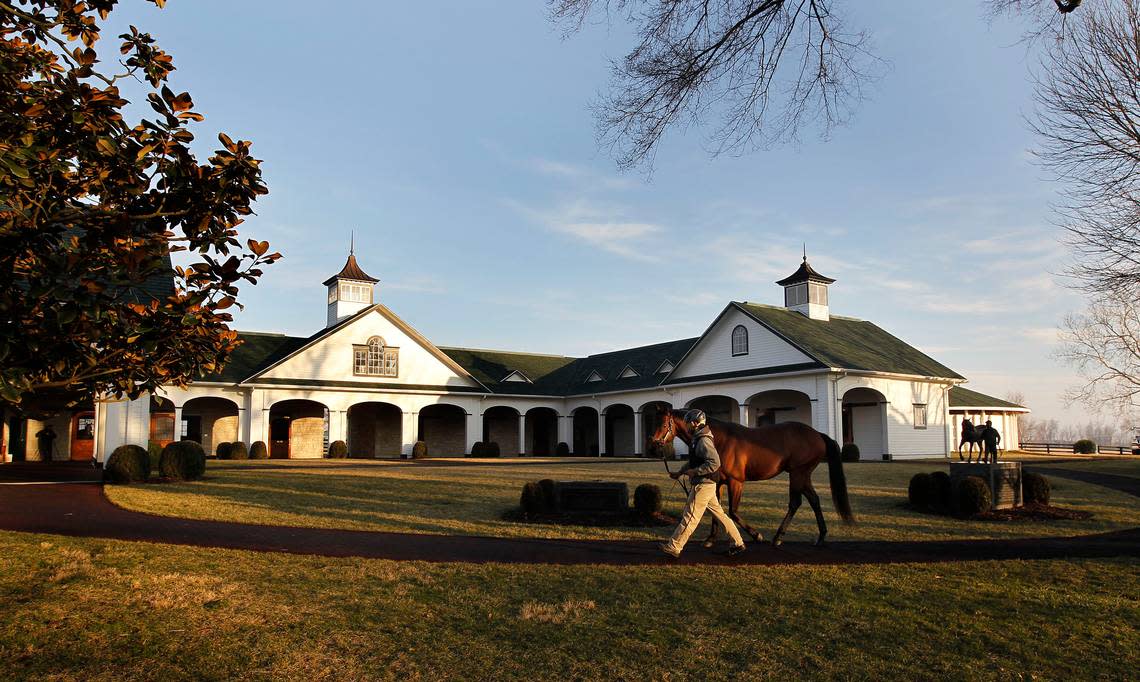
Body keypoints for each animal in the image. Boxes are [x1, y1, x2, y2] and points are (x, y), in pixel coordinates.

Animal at [656, 408, 852, 547]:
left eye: (664, 425)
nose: (654, 443)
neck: (717, 439)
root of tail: (818, 434)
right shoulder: (718, 482)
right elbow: (716, 511)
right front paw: (711, 538)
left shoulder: (736, 482)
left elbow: (733, 512)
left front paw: (757, 535)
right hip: (803, 475)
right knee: (814, 500)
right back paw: (820, 536)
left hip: (798, 473)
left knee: (795, 503)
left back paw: (778, 537)